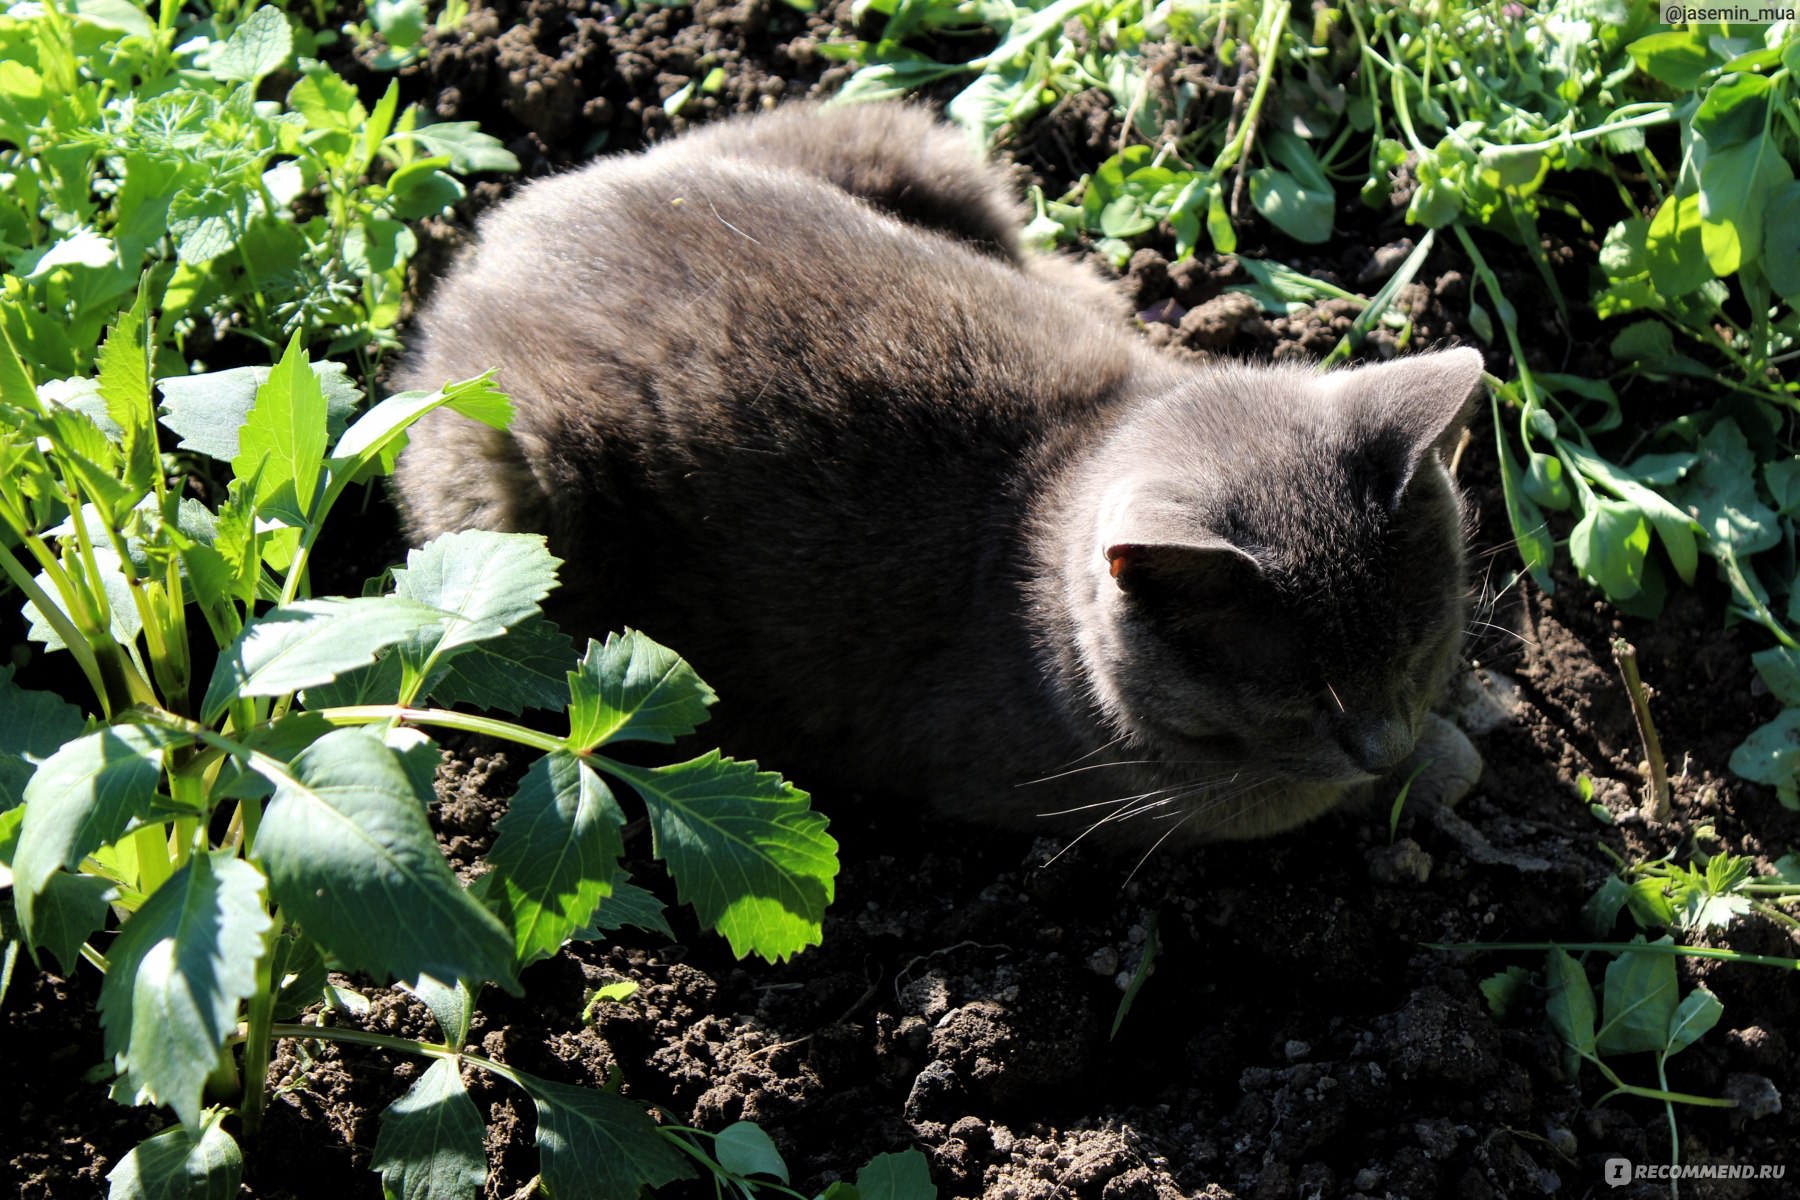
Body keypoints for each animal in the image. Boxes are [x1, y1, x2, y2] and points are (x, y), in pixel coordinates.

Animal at [390, 107, 1476, 849]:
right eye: (1300, 702)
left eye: (1419, 647)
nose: (1383, 742)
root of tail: (489, 249)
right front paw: (1434, 769)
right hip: (525, 481)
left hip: (895, 137)